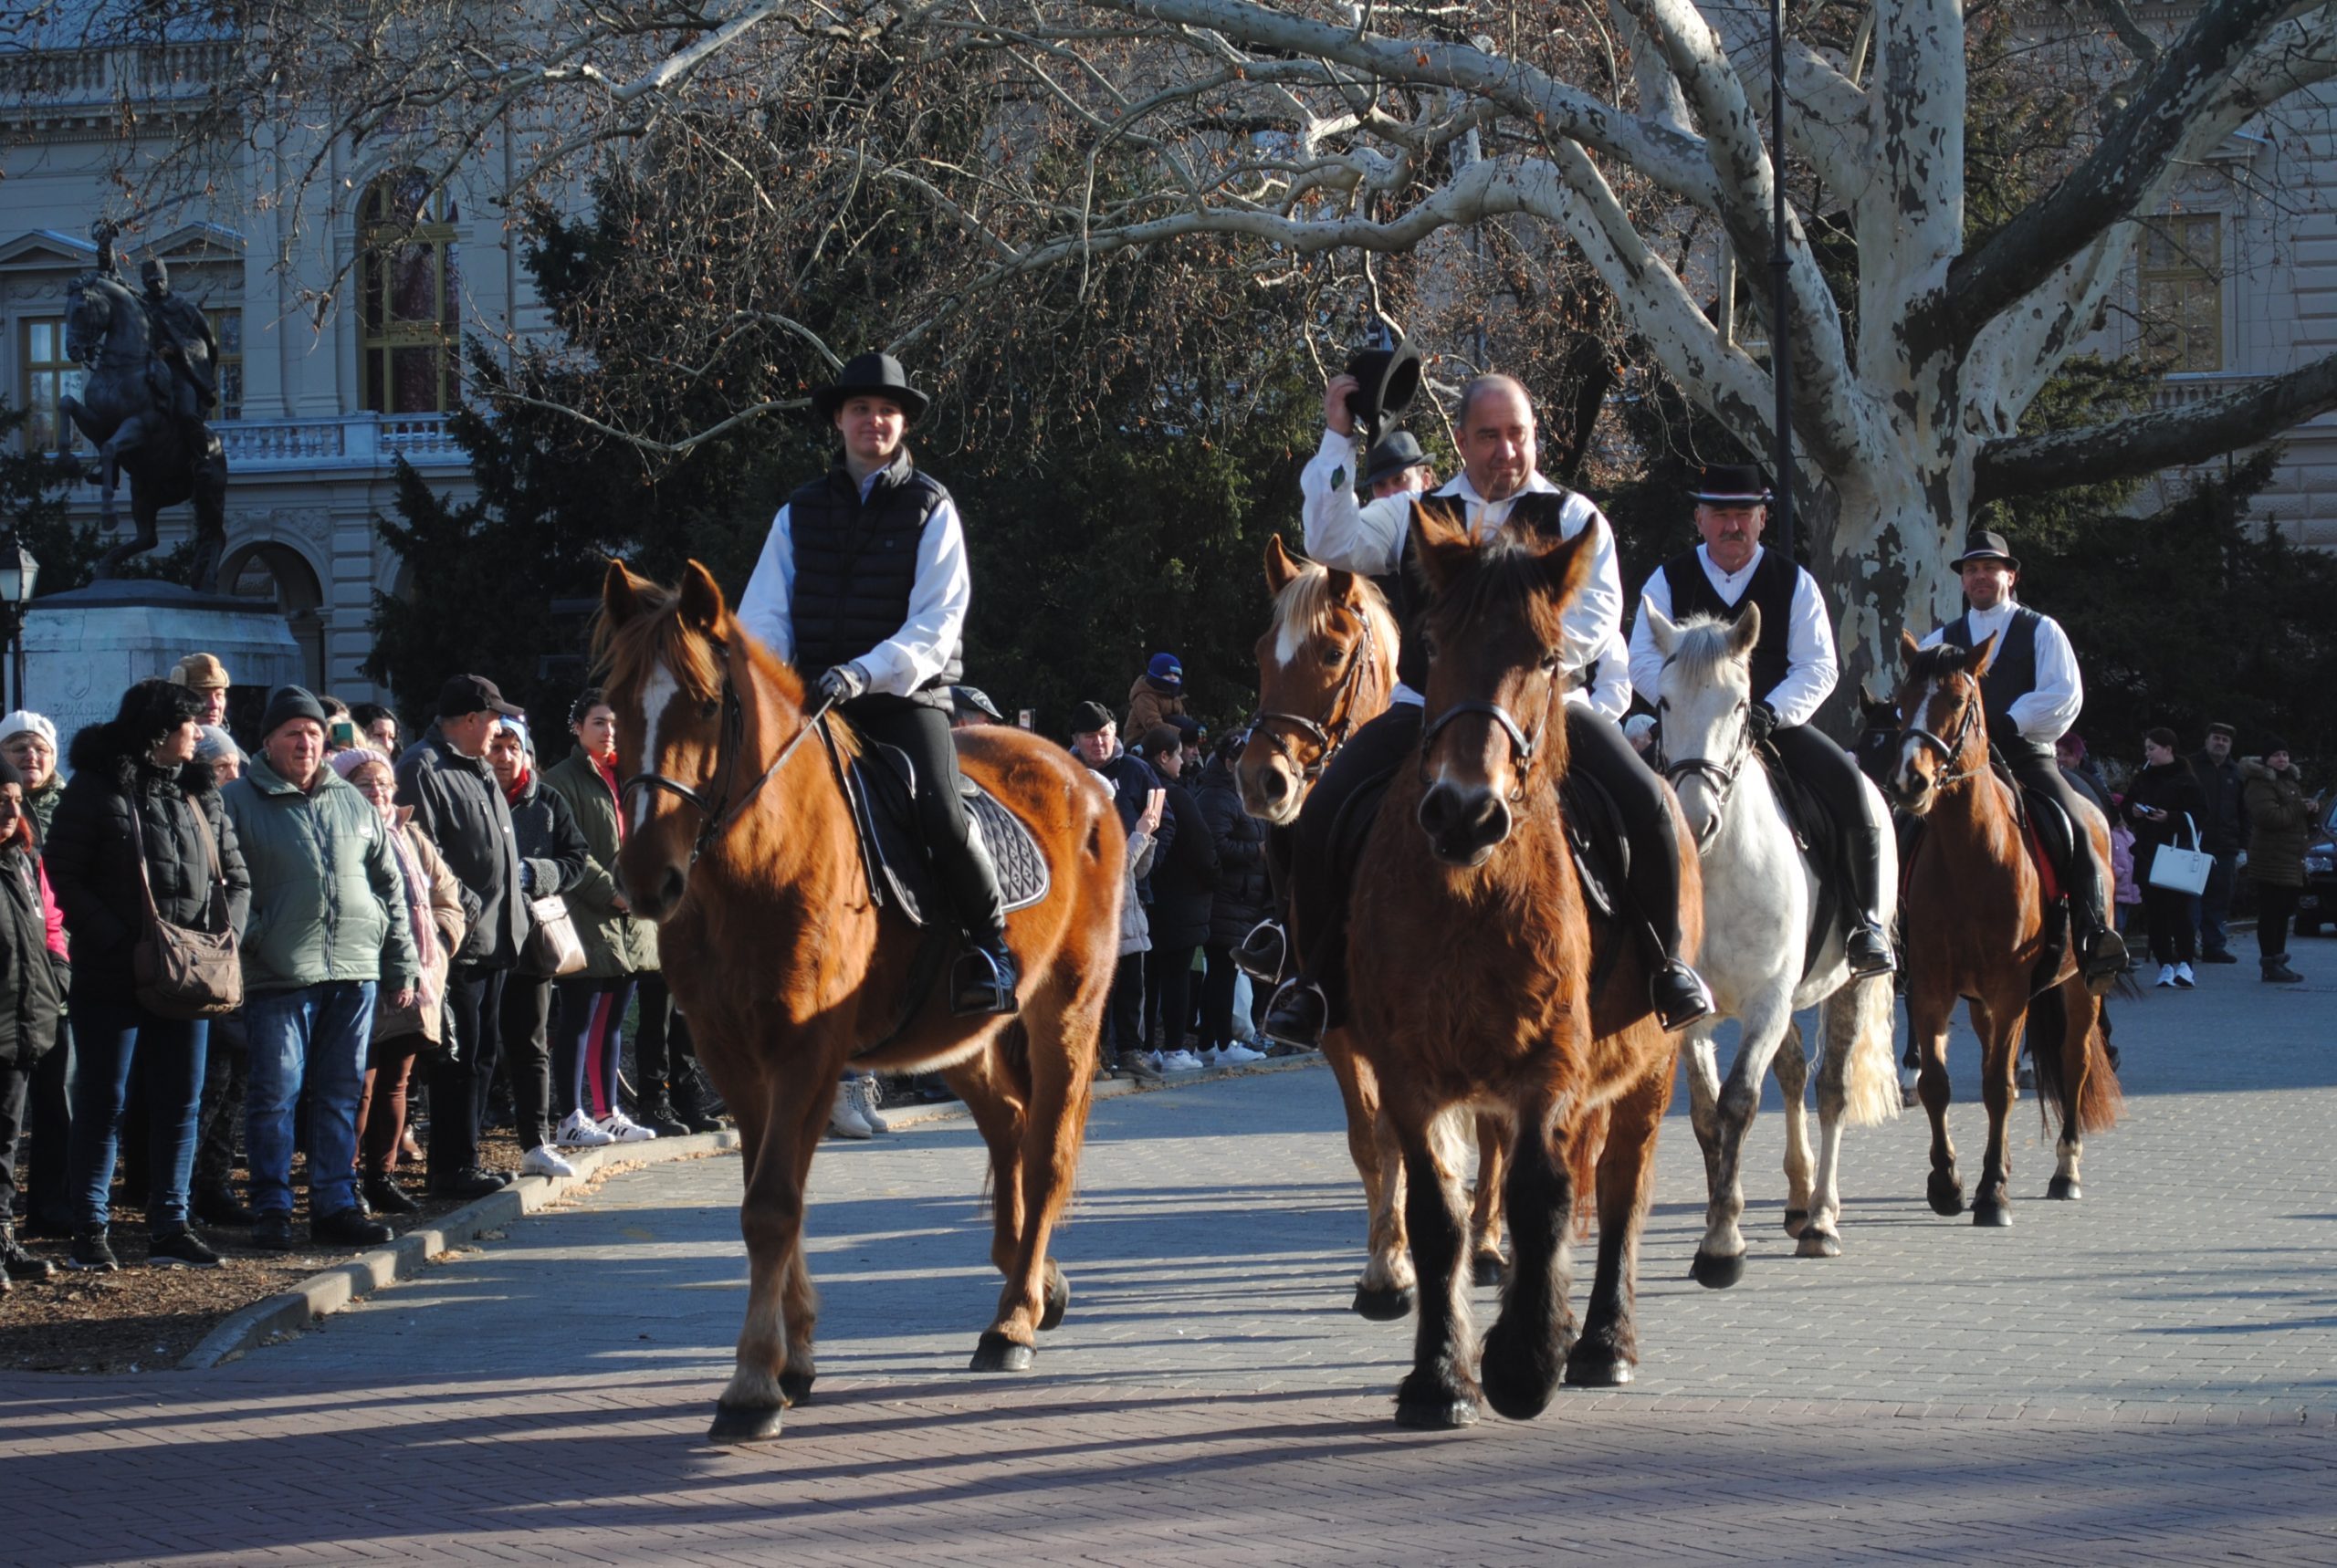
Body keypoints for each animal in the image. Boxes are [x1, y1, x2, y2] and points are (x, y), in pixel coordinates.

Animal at [593, 560, 1121, 1448]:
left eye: (704, 703)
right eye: (618, 703)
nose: (645, 878)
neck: (756, 866)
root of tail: (1085, 777)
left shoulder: (805, 1052)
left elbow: (773, 1205)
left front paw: (752, 1383)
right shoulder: (732, 1055)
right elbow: (771, 1197)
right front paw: (793, 1359)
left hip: (1065, 1014)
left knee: (1046, 1149)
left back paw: (1013, 1319)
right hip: (962, 1035)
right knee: (1010, 1125)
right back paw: (1034, 1277)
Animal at [1233, 539, 1504, 1308]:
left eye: (1331, 653)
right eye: (1260, 652)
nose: (1260, 779)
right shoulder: (1338, 1020)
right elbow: (1371, 1134)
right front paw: (1389, 1260)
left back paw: (1490, 1242)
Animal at [1355, 509, 1701, 1429]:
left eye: (1548, 657)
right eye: (1432, 643)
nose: (1464, 812)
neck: (1470, 900)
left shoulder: (1550, 1065)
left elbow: (1541, 1198)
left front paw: (1521, 1361)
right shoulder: (1406, 1073)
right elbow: (1437, 1217)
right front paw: (1442, 1378)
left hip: (1651, 1068)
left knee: (1619, 1189)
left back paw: (1602, 1340)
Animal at [1636, 602, 1906, 1290]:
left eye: (1740, 704)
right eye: (1665, 701)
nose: (1694, 819)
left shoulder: (1766, 999)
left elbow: (1738, 1104)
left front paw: (1722, 1248)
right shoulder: (1693, 1013)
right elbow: (1708, 1116)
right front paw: (1717, 1225)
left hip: (1849, 984)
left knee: (1830, 1089)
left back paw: (1821, 1220)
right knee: (1790, 1073)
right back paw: (1797, 1200)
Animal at [1879, 631, 2122, 1224]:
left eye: (1957, 701)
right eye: (1902, 699)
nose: (1909, 780)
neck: (1971, 857)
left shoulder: (2011, 990)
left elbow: (1998, 1086)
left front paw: (1992, 1194)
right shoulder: (1933, 987)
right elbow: (1937, 1084)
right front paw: (1948, 1183)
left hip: (2080, 987)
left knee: (2075, 1063)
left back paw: (2066, 1170)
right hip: (1982, 1000)